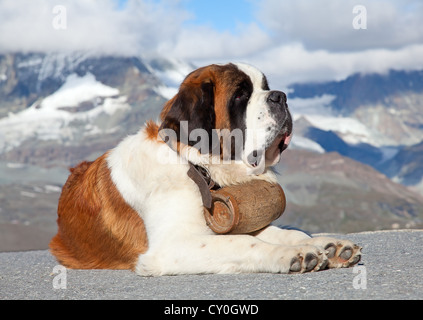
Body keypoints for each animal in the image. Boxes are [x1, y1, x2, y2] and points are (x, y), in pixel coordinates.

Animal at [48, 62, 362, 276]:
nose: (280, 96)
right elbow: (241, 243)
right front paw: (294, 254)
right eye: (240, 96)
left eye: (265, 87)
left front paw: (327, 246)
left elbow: (281, 231)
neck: (198, 166)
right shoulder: (172, 246)